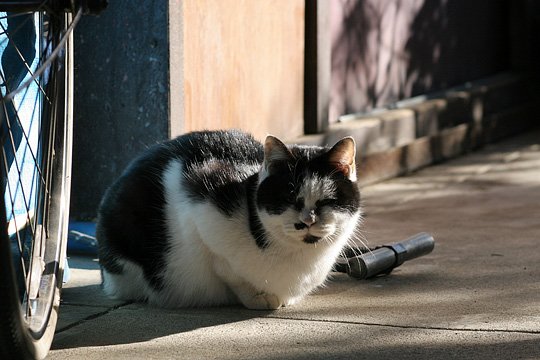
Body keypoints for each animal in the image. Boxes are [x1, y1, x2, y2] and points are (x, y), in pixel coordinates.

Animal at [96, 129, 362, 310]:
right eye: (288, 197)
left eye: (327, 201)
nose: (307, 220)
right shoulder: (201, 208)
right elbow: (229, 271)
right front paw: (258, 297)